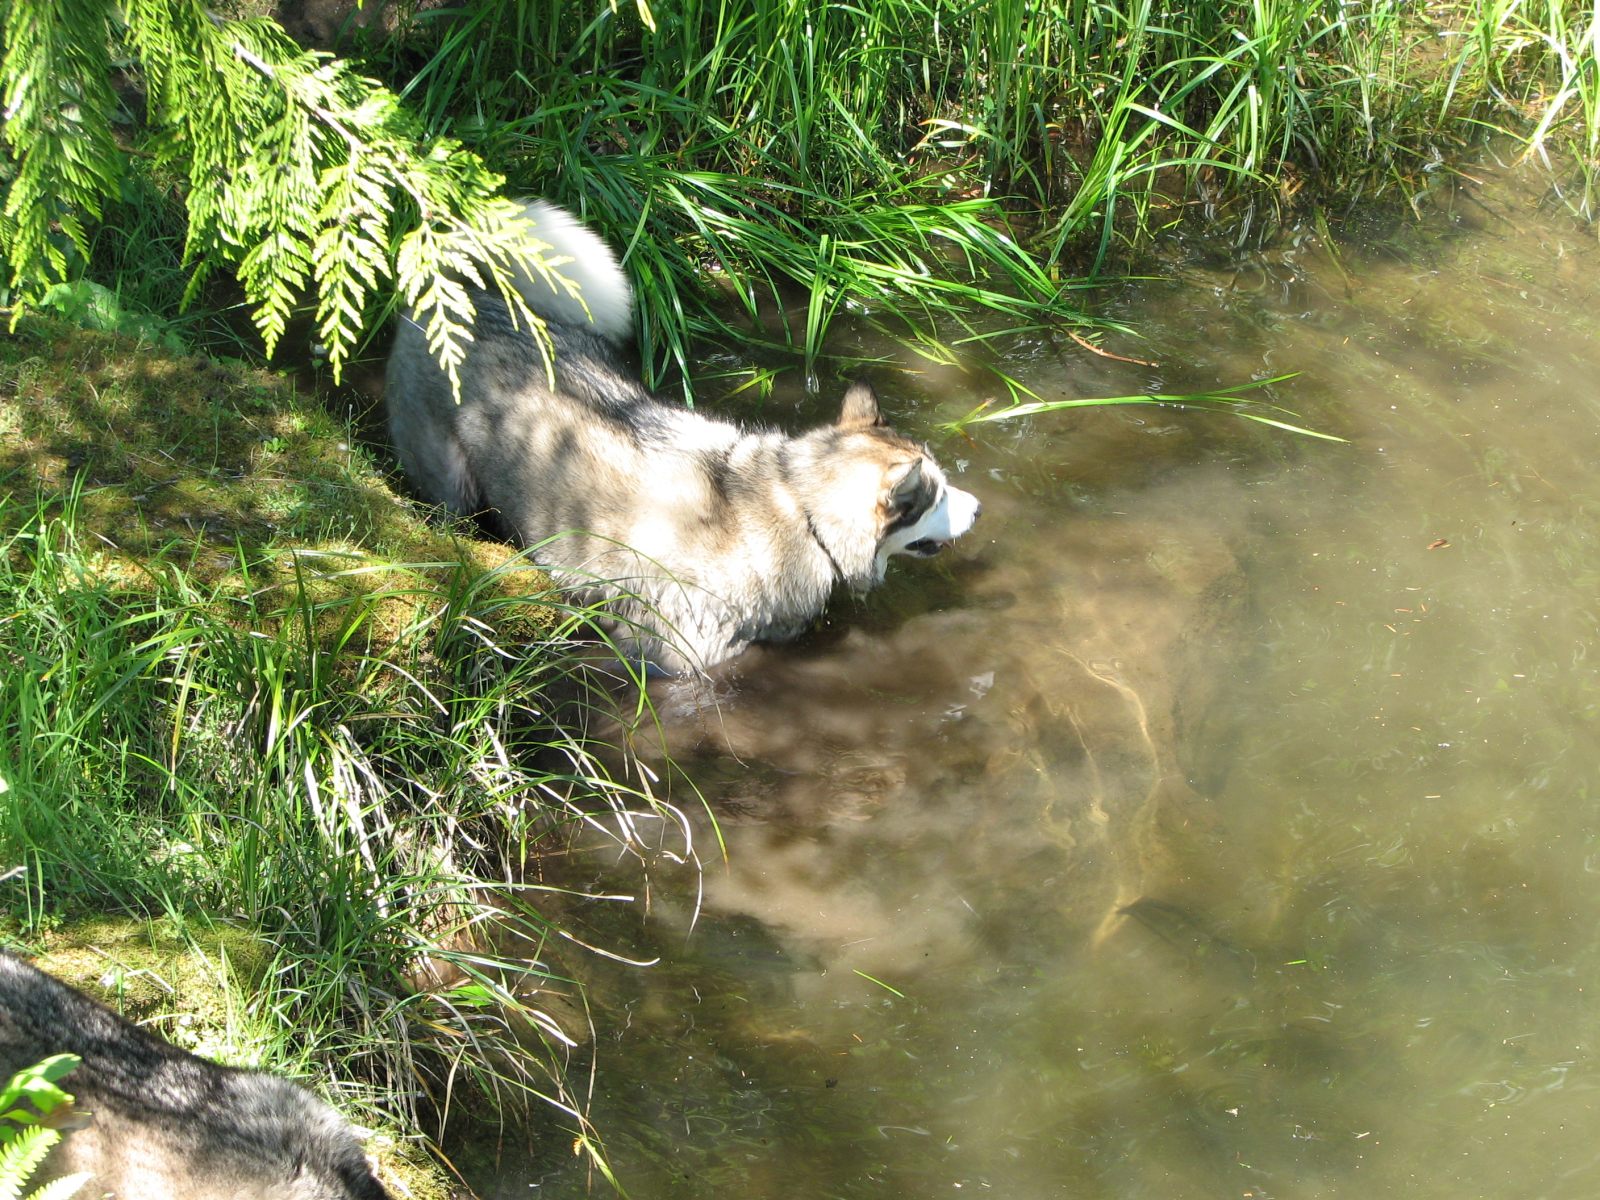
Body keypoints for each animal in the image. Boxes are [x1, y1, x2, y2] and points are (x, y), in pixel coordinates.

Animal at [390, 200, 985, 672]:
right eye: (937, 496)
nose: (980, 508)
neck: (799, 510)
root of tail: (466, 289)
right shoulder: (684, 661)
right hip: (450, 486)